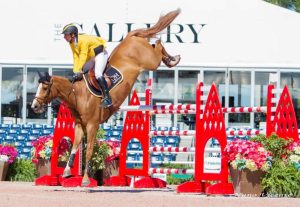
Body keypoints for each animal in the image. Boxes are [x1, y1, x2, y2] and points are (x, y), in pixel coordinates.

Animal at [31, 8, 180, 186]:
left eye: (45, 87)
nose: (34, 106)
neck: (78, 95)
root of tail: (130, 37)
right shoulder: (80, 126)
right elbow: (74, 147)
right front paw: (67, 172)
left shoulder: (92, 125)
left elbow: (88, 151)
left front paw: (85, 180)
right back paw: (171, 59)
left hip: (150, 61)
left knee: (157, 47)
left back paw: (173, 59)